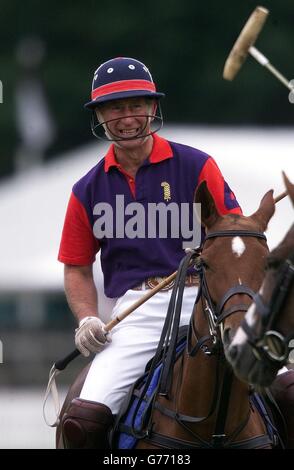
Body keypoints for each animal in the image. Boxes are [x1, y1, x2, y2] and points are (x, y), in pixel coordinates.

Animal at [55, 182, 278, 450]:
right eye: (204, 264)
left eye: (268, 264)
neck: (214, 429)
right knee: (84, 417)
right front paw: (89, 332)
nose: (240, 339)